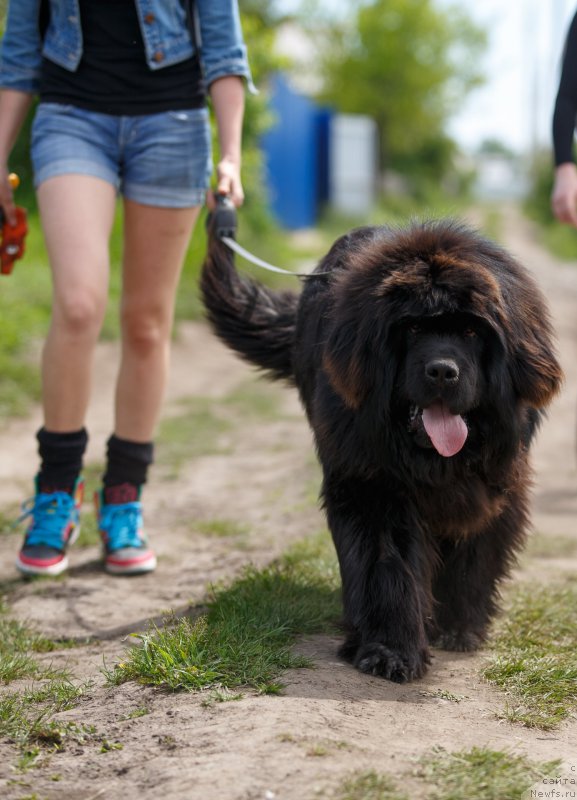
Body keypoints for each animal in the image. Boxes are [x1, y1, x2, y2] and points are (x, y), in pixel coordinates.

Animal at [200, 219, 560, 680]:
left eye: (470, 331)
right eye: (412, 328)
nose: (442, 371)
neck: (436, 461)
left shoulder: (495, 487)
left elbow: (474, 557)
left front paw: (459, 626)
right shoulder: (373, 485)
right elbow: (386, 565)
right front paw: (390, 649)